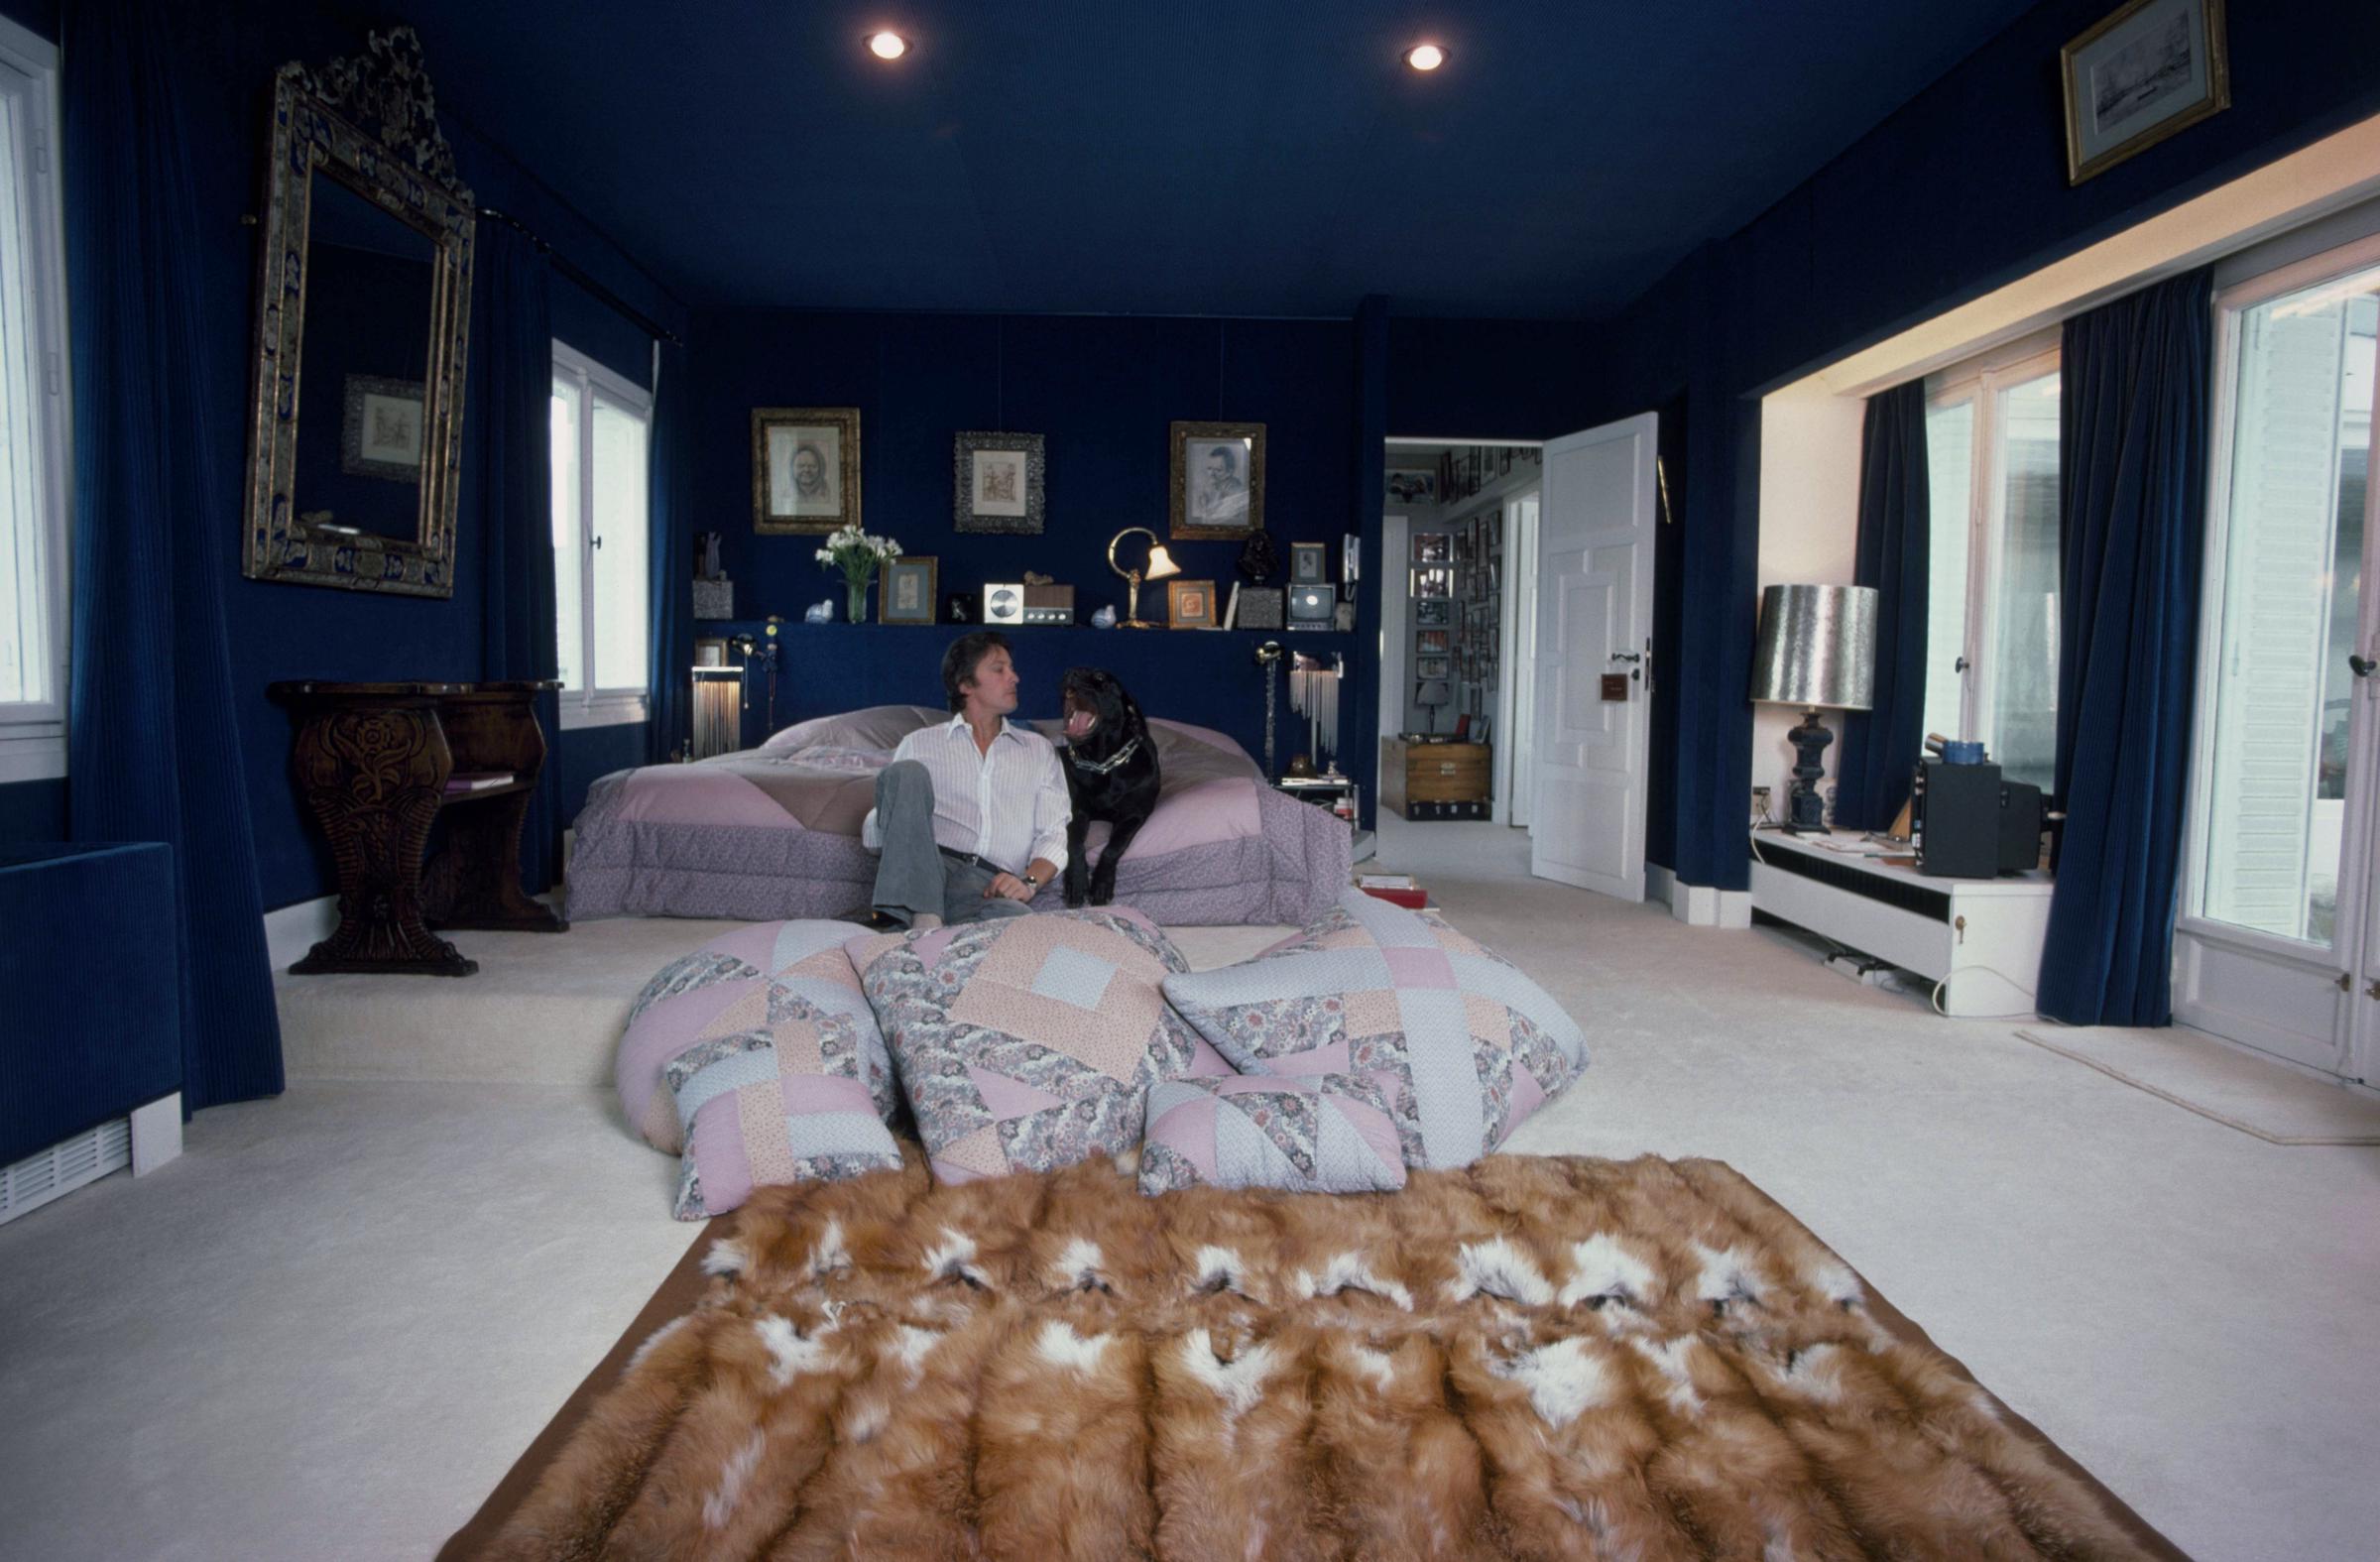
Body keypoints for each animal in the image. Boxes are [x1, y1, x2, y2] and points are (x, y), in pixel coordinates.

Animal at [1066, 666, 1166, 909]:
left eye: (1100, 678)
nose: (1070, 672)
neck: (1103, 763)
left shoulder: (1134, 815)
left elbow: (1113, 847)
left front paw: (1101, 884)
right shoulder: (1077, 811)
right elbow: (1075, 842)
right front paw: (1077, 881)